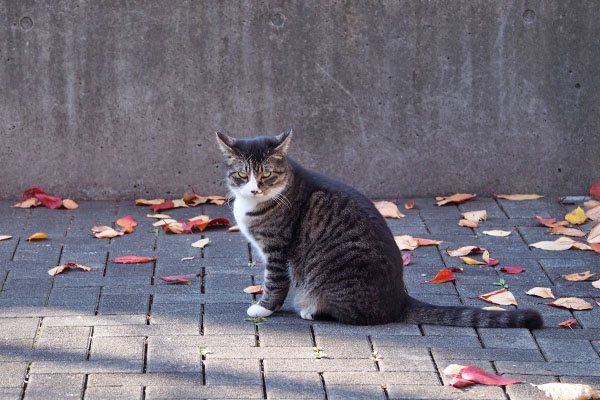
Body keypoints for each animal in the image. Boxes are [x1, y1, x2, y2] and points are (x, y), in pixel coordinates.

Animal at [216, 130, 544, 328]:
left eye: (266, 174)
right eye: (243, 175)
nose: (255, 189)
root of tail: (399, 299)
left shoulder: (277, 250)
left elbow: (275, 282)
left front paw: (263, 308)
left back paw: (312, 309)